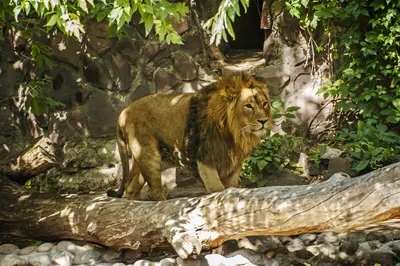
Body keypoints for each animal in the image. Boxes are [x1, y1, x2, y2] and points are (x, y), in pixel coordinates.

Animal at [108, 71, 272, 201]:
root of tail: (123, 112)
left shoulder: (233, 163)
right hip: (147, 154)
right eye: (248, 106)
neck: (235, 133)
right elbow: (218, 189)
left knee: (130, 187)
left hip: (145, 159)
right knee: (153, 191)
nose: (264, 121)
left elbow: (232, 188)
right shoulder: (205, 157)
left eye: (264, 104)